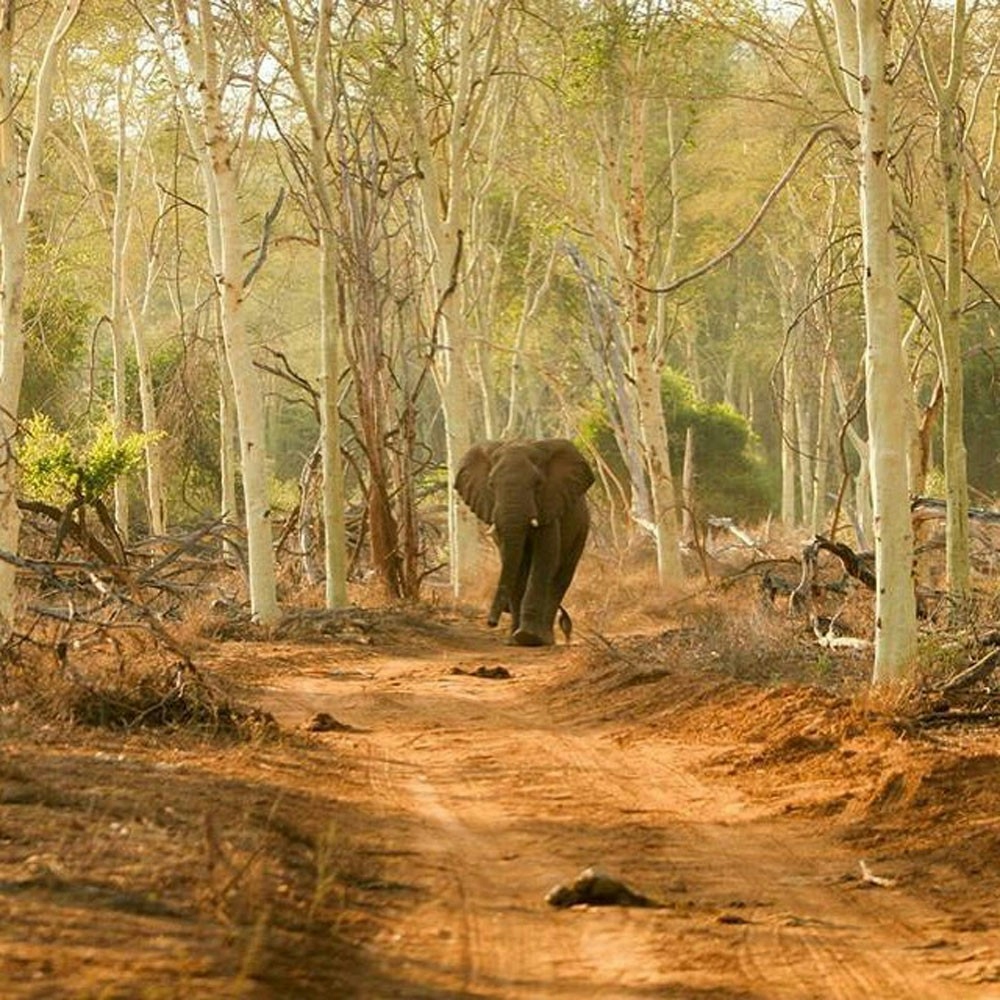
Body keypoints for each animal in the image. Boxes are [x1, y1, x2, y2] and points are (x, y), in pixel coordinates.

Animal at [456, 440, 592, 648]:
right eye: (491, 485)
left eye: (538, 484)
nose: (491, 622)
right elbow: (514, 562)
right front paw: (515, 640)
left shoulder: (549, 508)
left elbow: (545, 558)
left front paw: (528, 638)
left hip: (581, 530)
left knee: (560, 578)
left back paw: (545, 639)